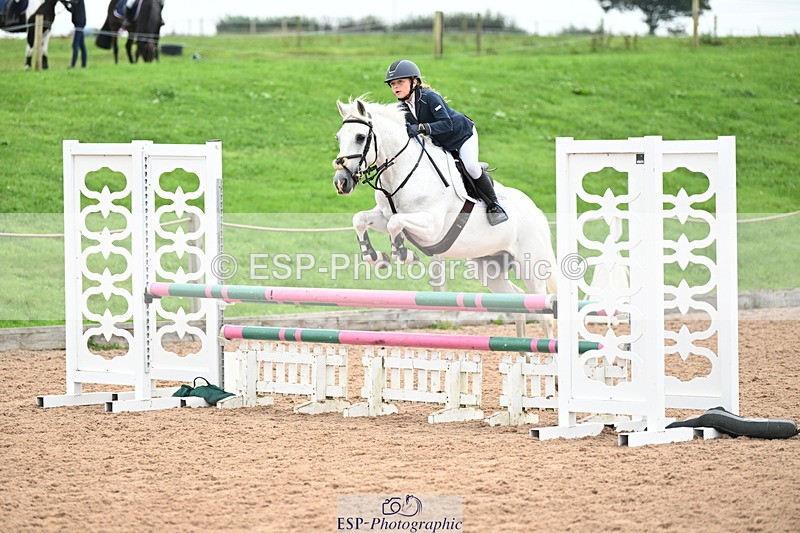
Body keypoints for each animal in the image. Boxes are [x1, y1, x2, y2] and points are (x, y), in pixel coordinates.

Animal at [332, 98, 557, 337]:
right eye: (339, 137)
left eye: (360, 137)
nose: (341, 182)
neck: (401, 172)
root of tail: (537, 212)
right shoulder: (384, 216)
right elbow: (360, 219)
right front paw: (375, 258)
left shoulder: (431, 226)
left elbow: (396, 224)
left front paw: (404, 254)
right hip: (489, 266)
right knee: (517, 301)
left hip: (531, 265)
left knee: (543, 314)